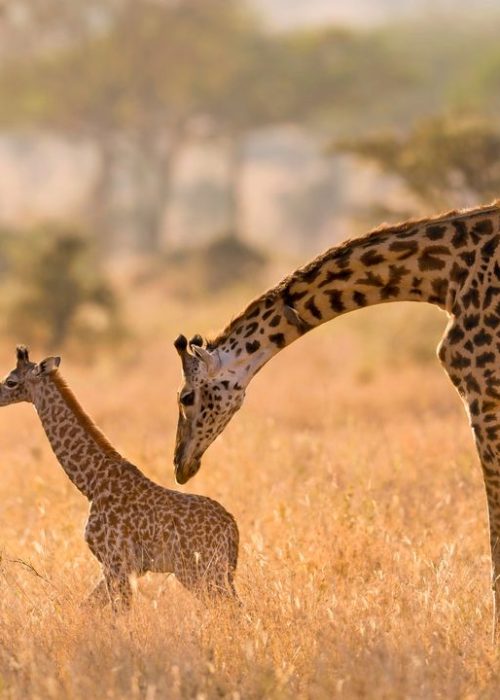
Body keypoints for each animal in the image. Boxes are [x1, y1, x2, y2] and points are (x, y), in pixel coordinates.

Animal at [0, 346, 239, 609]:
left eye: (10, 381)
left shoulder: (117, 561)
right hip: (214, 571)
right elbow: (88, 607)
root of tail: (231, 527)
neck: (92, 483)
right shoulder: (118, 567)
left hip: (198, 570)